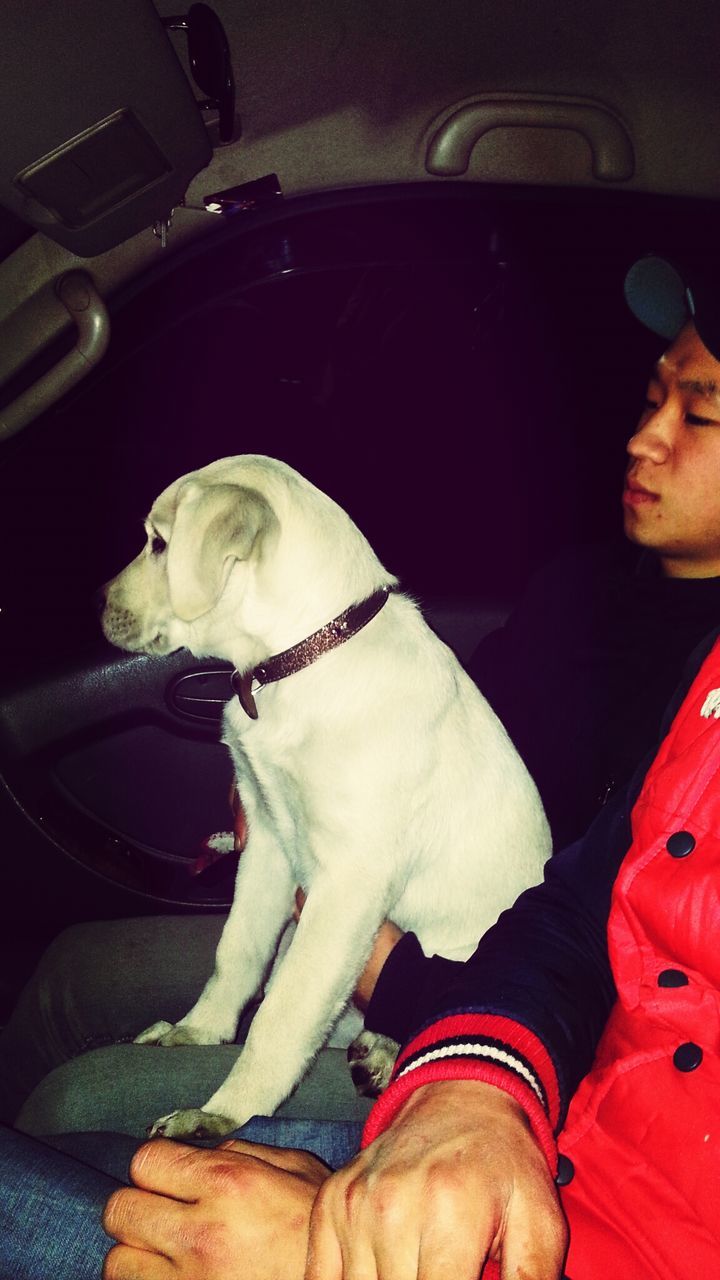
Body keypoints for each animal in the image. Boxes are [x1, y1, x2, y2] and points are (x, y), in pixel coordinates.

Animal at [99, 455, 548, 1136]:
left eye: (158, 543)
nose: (99, 604)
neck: (302, 660)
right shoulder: (268, 841)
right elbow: (239, 953)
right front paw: (198, 1032)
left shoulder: (347, 885)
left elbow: (282, 1013)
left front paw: (222, 1118)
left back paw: (385, 1053)